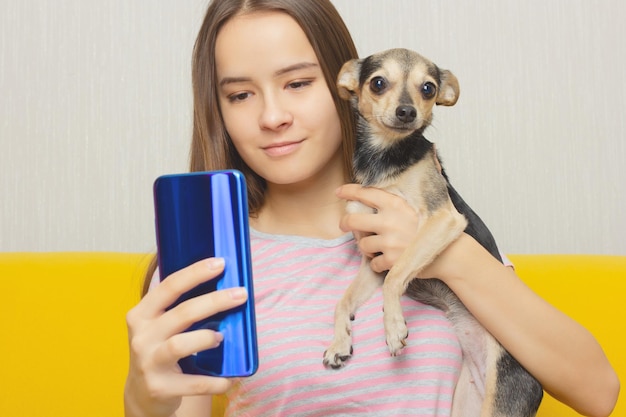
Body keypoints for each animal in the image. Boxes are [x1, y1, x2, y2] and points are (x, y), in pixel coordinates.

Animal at [322, 48, 540, 416]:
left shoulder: (442, 219)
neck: (385, 160)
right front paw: (339, 342)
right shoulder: (373, 261)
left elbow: (397, 274)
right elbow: (343, 300)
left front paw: (393, 326)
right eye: (377, 83)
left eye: (428, 88)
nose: (406, 111)